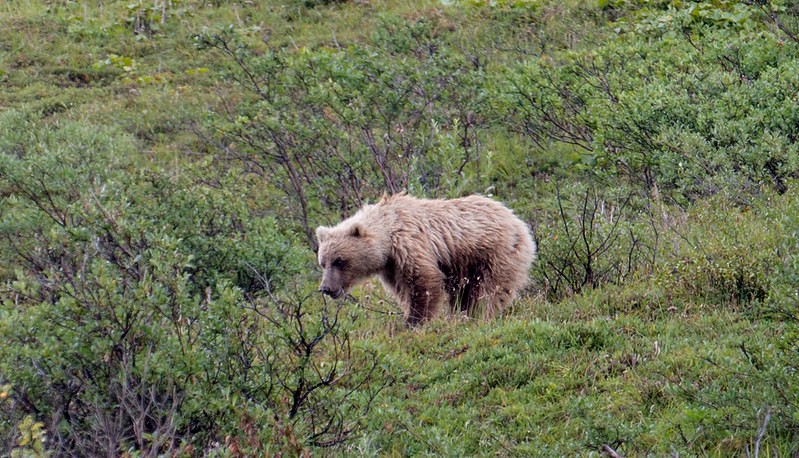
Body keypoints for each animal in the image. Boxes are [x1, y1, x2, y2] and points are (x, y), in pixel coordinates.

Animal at [316, 193, 536, 326]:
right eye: (323, 262)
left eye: (340, 261)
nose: (326, 288)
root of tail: (518, 220)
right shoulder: (391, 267)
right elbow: (404, 290)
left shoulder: (410, 245)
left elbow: (423, 282)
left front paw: (413, 322)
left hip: (495, 254)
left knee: (489, 291)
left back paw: (478, 315)